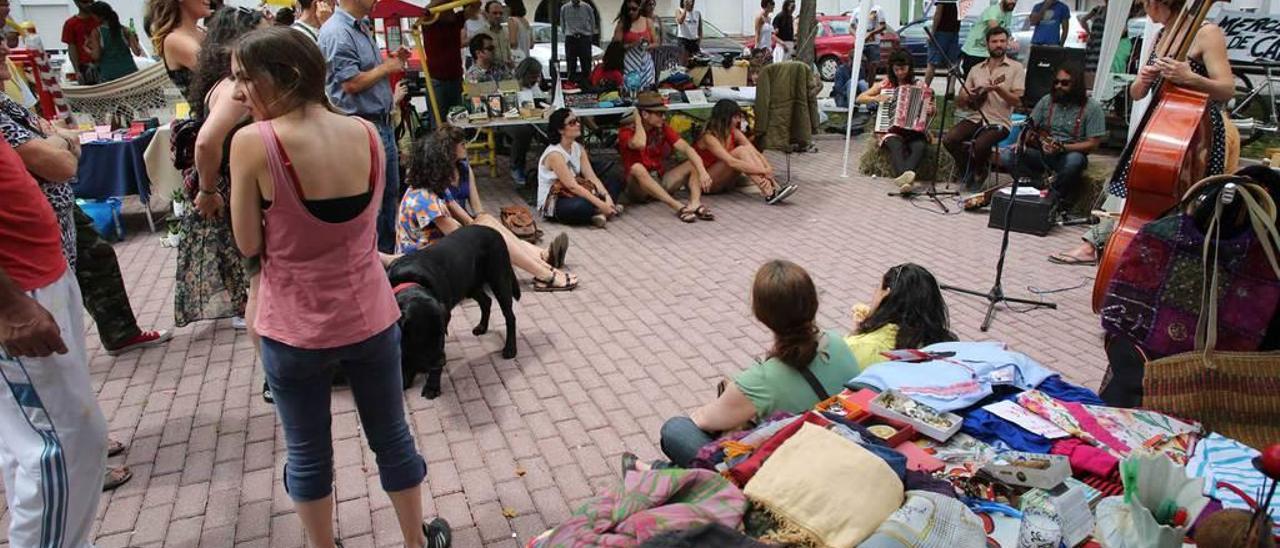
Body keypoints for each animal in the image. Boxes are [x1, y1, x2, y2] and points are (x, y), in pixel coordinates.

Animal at [384, 225, 519, 399]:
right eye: (421, 337)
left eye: (440, 335)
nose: (441, 362)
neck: (409, 281)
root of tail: (493, 230)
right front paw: (406, 378)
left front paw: (432, 386)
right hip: (469, 285)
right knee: (486, 301)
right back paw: (482, 327)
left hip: (499, 280)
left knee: (510, 316)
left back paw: (510, 348)